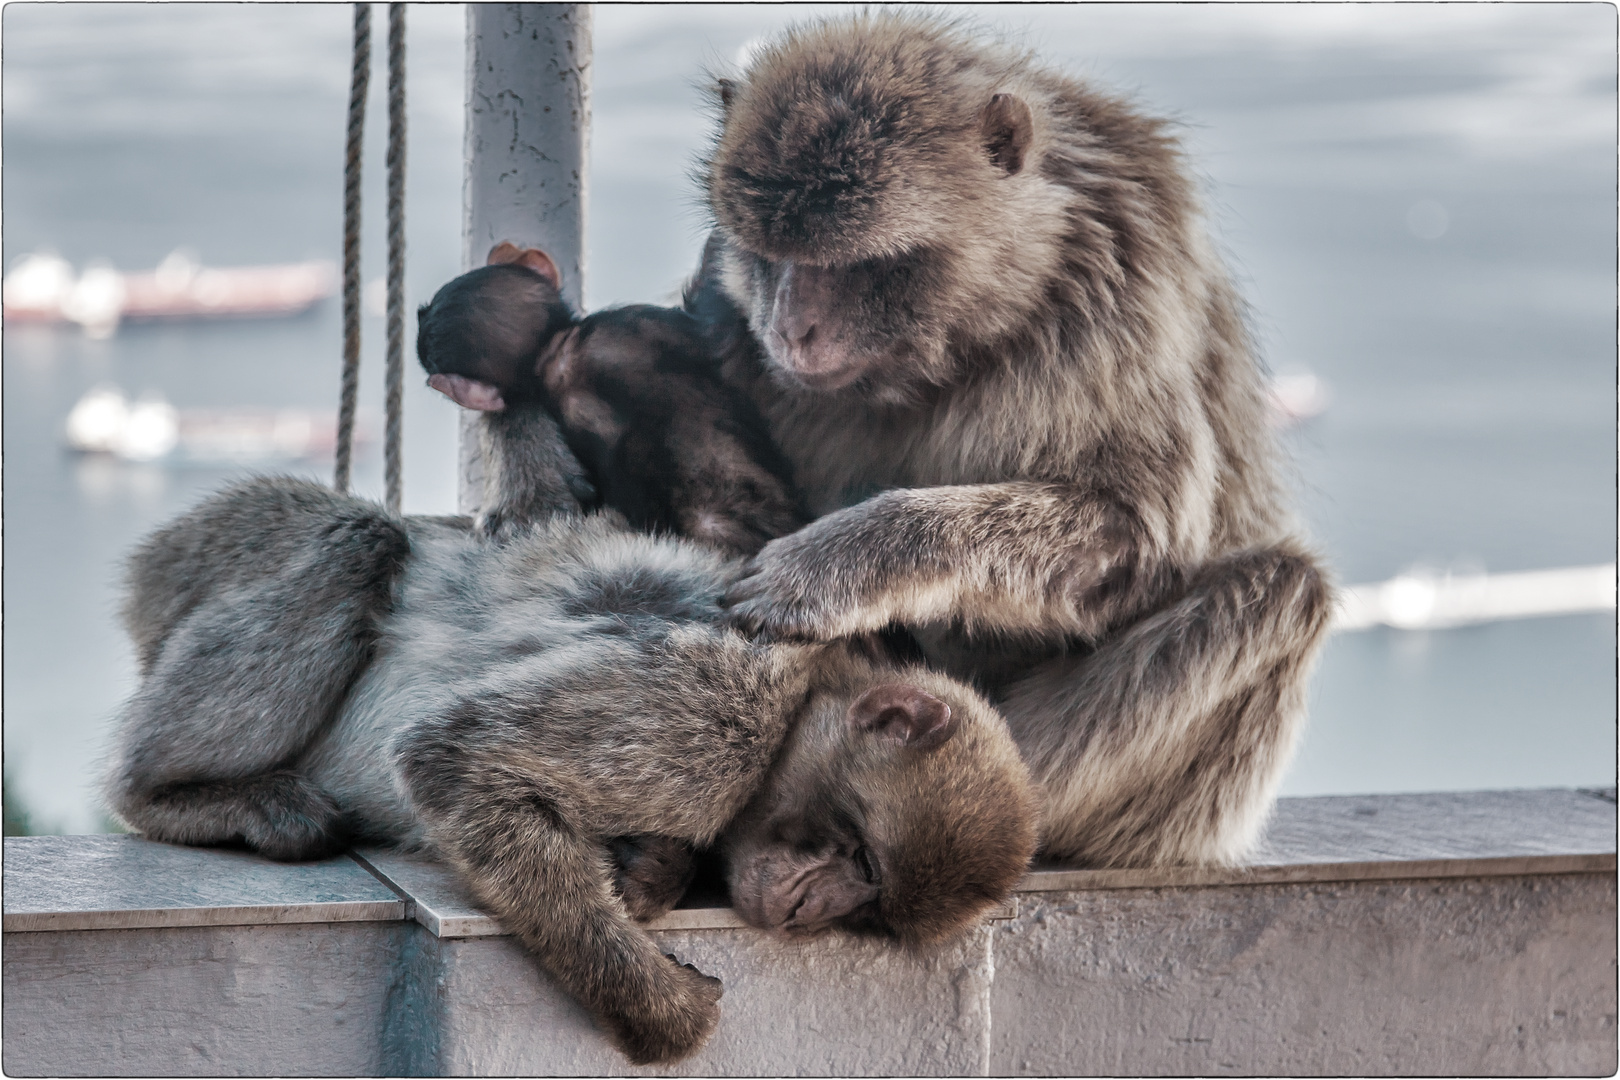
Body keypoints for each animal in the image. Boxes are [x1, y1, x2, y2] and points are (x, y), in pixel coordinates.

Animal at [104, 414, 1036, 1062]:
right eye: (862, 861)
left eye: (869, 911)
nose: (813, 911)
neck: (811, 687)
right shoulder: (720, 718)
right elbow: (455, 755)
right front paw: (658, 1013)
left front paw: (652, 871)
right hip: (231, 549)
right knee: (357, 543)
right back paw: (173, 795)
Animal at [690, 12, 1334, 867]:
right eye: (769, 255)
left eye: (864, 264)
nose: (792, 329)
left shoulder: (1115, 300)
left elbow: (1137, 535)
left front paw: (846, 561)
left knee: (1282, 590)